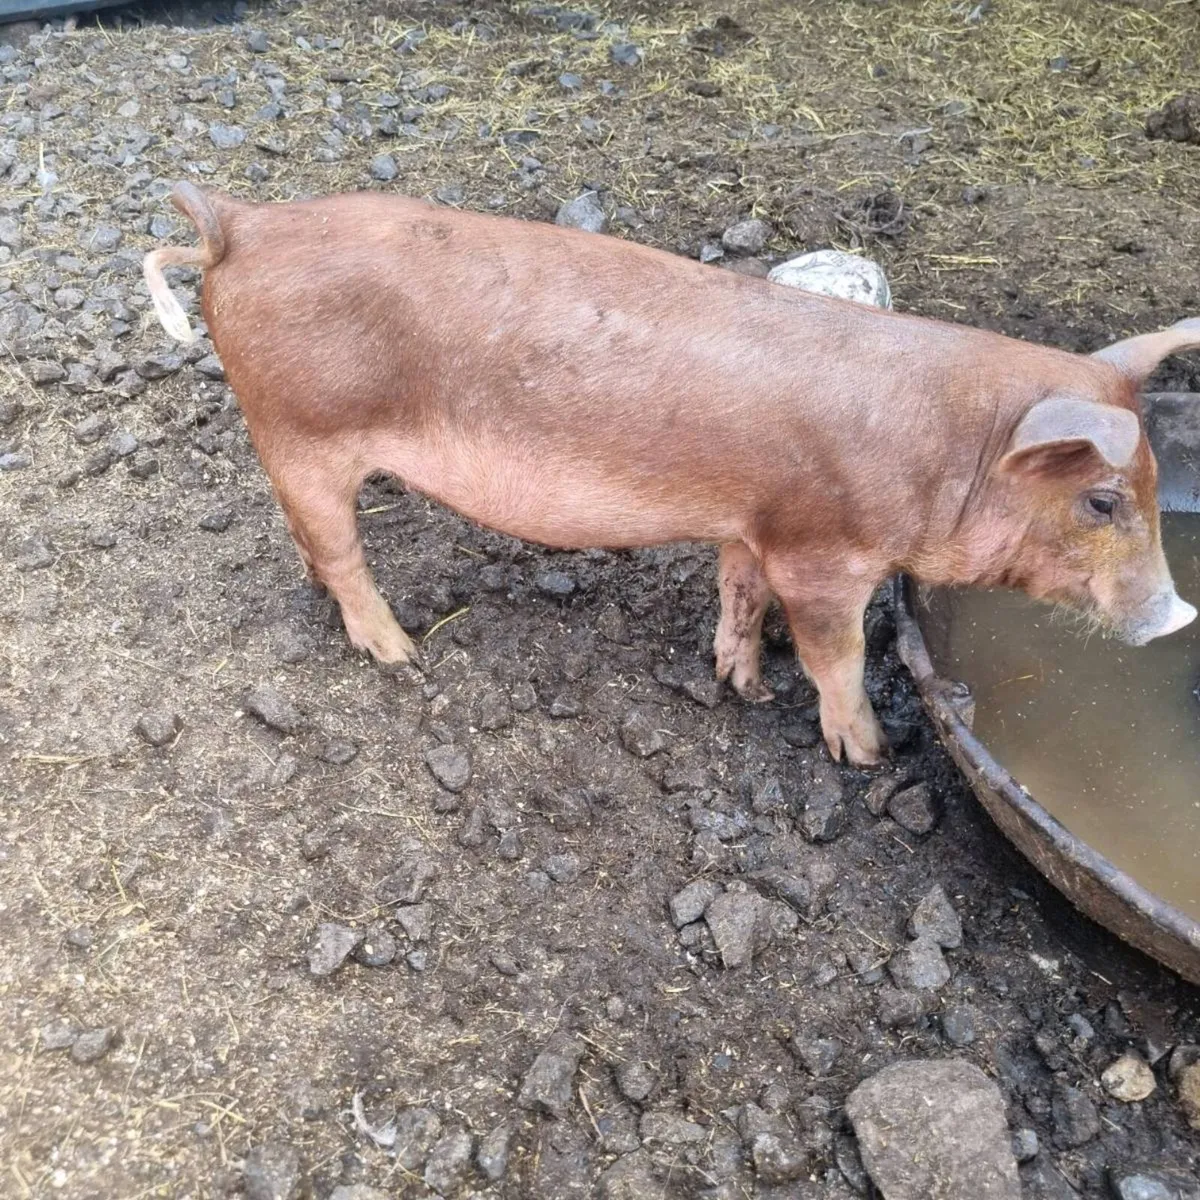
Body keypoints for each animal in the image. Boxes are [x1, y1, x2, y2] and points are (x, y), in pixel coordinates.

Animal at [143, 182, 1200, 767]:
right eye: (1102, 499)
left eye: (1153, 487)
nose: (1178, 616)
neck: (954, 452)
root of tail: (240, 226)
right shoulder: (824, 553)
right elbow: (837, 654)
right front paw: (866, 755)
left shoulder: (755, 525)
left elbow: (738, 594)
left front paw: (743, 686)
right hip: (300, 429)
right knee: (338, 547)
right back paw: (400, 654)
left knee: (306, 538)